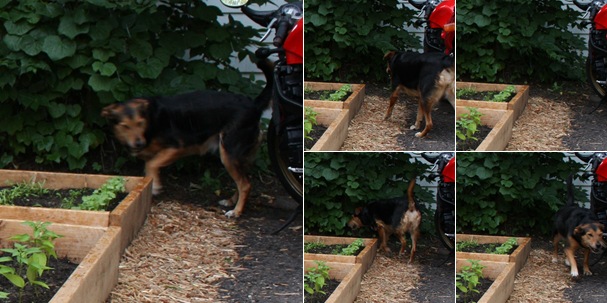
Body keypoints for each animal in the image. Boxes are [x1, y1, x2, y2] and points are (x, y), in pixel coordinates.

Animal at [103, 59, 274, 218]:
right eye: (125, 126)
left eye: (140, 123)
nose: (139, 143)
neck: (151, 121)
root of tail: (254, 105)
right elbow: (148, 169)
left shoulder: (177, 147)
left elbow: (152, 165)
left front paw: (156, 187)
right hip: (238, 157)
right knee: (244, 181)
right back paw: (231, 201)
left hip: (228, 153)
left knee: (245, 185)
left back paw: (236, 211)